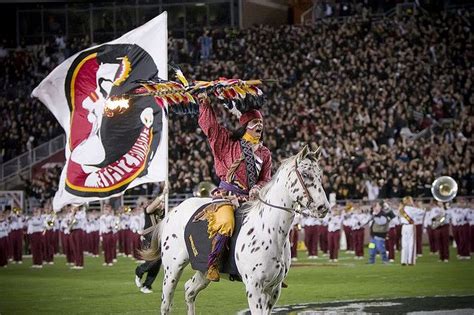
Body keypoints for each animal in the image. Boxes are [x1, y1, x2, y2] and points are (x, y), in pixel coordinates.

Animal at [144, 146, 330, 315]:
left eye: (320, 175)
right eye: (306, 174)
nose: (324, 208)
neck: (269, 231)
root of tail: (173, 211)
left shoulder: (274, 289)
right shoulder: (254, 289)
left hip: (203, 271)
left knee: (189, 290)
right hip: (172, 270)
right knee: (166, 304)